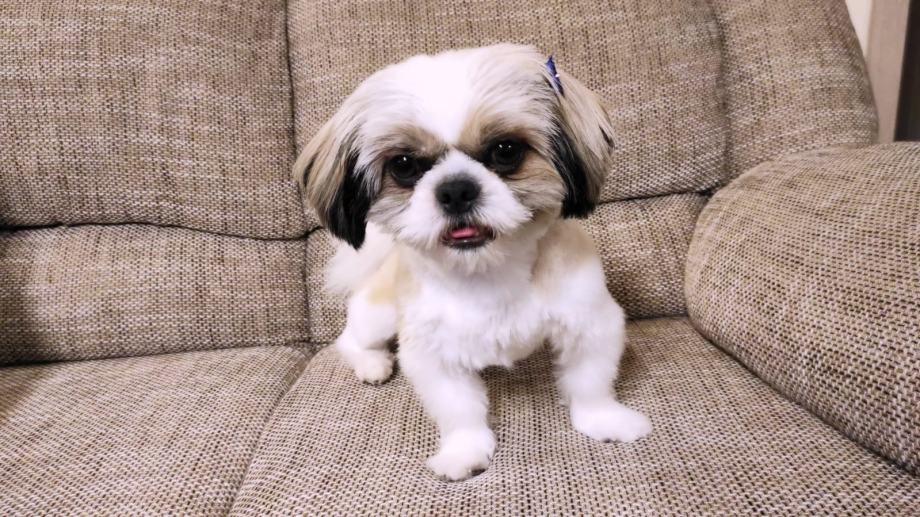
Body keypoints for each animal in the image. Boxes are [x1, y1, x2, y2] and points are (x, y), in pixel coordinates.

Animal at [295, 44, 651, 481]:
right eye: (404, 165)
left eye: (506, 151)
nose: (456, 190)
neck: (489, 271)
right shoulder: (432, 353)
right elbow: (459, 411)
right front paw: (463, 453)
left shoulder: (590, 321)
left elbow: (590, 383)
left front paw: (606, 420)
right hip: (378, 313)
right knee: (350, 340)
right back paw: (372, 364)